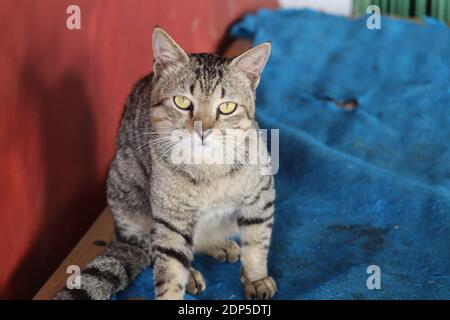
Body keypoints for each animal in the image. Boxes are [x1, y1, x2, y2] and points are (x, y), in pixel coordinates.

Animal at [55, 26, 276, 298]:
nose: (203, 130)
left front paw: (257, 278)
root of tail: (120, 234)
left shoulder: (261, 198)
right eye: (182, 102)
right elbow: (169, 269)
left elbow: (256, 244)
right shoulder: (171, 219)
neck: (208, 169)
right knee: (154, 249)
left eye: (227, 107)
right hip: (130, 194)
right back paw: (191, 274)